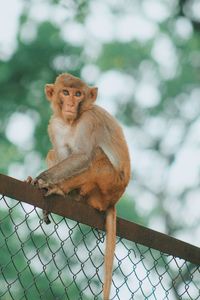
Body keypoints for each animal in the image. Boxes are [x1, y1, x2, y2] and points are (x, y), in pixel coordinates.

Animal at [27, 73, 131, 300]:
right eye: (65, 92)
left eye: (78, 94)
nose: (71, 104)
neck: (72, 121)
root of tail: (114, 201)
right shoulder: (55, 124)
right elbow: (62, 153)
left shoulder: (89, 119)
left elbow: (83, 156)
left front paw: (40, 179)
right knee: (55, 153)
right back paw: (69, 195)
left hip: (108, 185)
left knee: (95, 156)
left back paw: (59, 190)